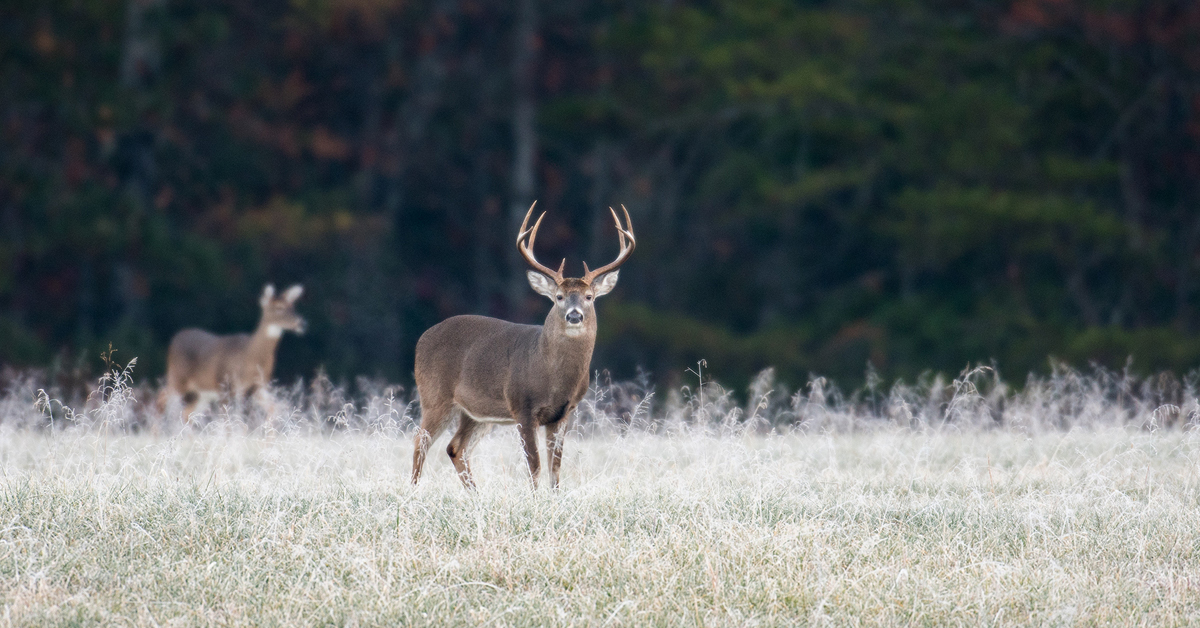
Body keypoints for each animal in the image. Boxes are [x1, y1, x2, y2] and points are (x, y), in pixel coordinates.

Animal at [159, 284, 306, 424]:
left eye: (293, 307)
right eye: (279, 307)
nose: (301, 323)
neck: (250, 357)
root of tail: (175, 338)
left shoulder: (258, 386)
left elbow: (275, 408)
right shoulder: (225, 384)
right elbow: (230, 421)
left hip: (202, 392)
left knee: (185, 413)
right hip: (178, 377)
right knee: (162, 400)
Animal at [411, 203, 634, 490]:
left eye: (589, 297)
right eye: (559, 297)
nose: (574, 316)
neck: (552, 375)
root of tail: (422, 338)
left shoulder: (564, 413)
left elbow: (555, 468)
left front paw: (554, 497)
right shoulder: (523, 407)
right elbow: (535, 466)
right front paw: (534, 498)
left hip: (477, 412)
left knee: (456, 447)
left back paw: (476, 495)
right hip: (434, 395)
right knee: (420, 442)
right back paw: (413, 492)